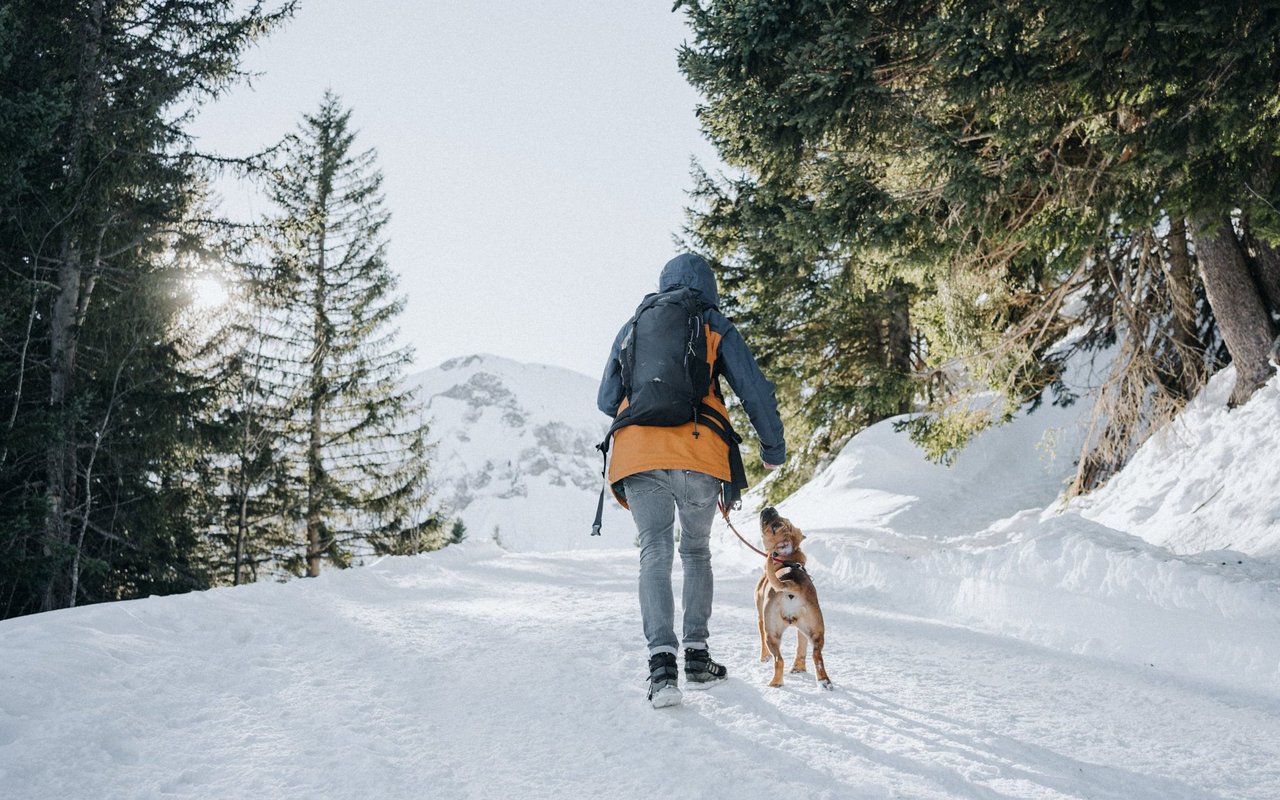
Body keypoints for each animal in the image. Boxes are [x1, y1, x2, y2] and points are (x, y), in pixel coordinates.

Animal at [752, 504, 834, 686]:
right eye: (785, 519)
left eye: (775, 526)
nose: (770, 508)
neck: (786, 559)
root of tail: (791, 584)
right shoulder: (801, 630)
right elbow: (801, 647)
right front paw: (798, 668)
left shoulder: (760, 617)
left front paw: (764, 658)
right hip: (815, 630)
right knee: (816, 656)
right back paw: (822, 680)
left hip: (772, 633)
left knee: (779, 660)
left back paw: (775, 683)